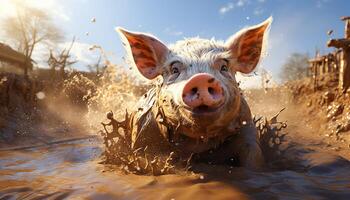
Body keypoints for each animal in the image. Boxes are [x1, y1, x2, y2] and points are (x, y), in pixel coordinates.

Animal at [116, 17, 272, 170]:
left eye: (224, 67)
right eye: (174, 69)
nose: (201, 78)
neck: (199, 144)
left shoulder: (247, 127)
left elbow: (253, 155)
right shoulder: (143, 133)